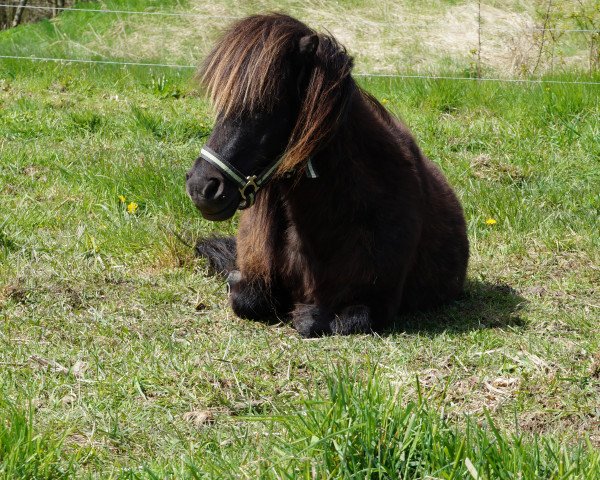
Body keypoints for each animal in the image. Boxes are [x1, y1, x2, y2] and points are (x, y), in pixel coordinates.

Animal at [186, 14, 468, 338]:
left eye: (268, 107)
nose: (201, 187)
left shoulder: (378, 302)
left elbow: (326, 321)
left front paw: (306, 314)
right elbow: (247, 300)